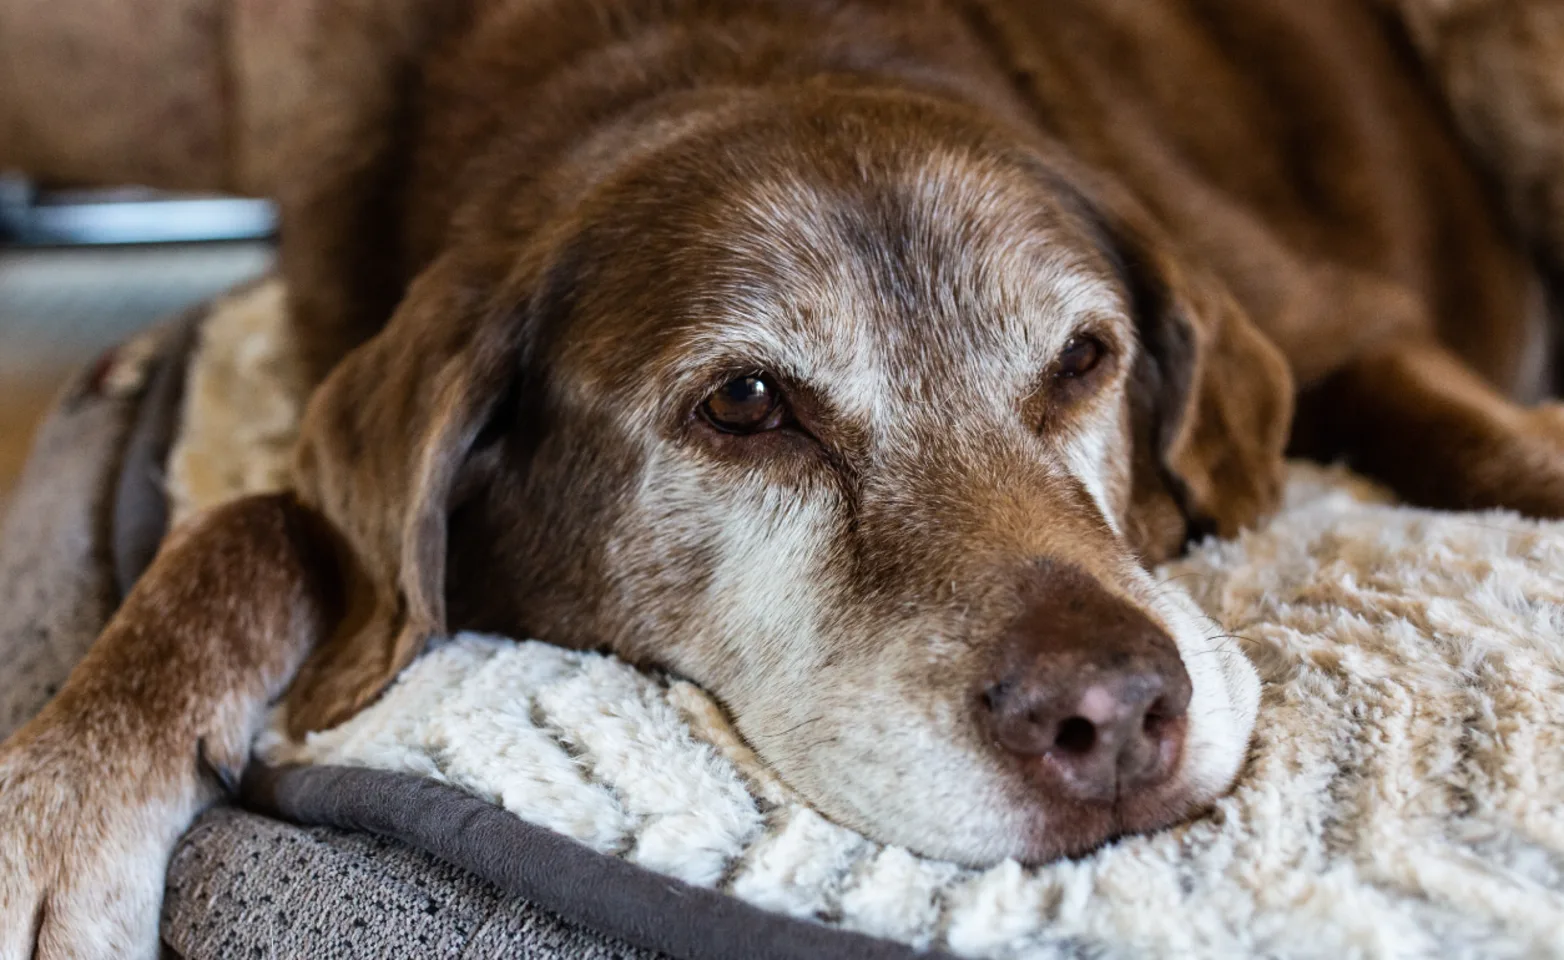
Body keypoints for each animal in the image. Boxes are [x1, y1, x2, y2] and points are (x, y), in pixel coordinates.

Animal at [3, 0, 1564, 956]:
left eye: (1083, 358)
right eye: (746, 405)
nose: (1114, 719)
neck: (725, 45)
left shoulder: (1340, 324)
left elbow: (1481, 442)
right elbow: (255, 525)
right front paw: (58, 805)